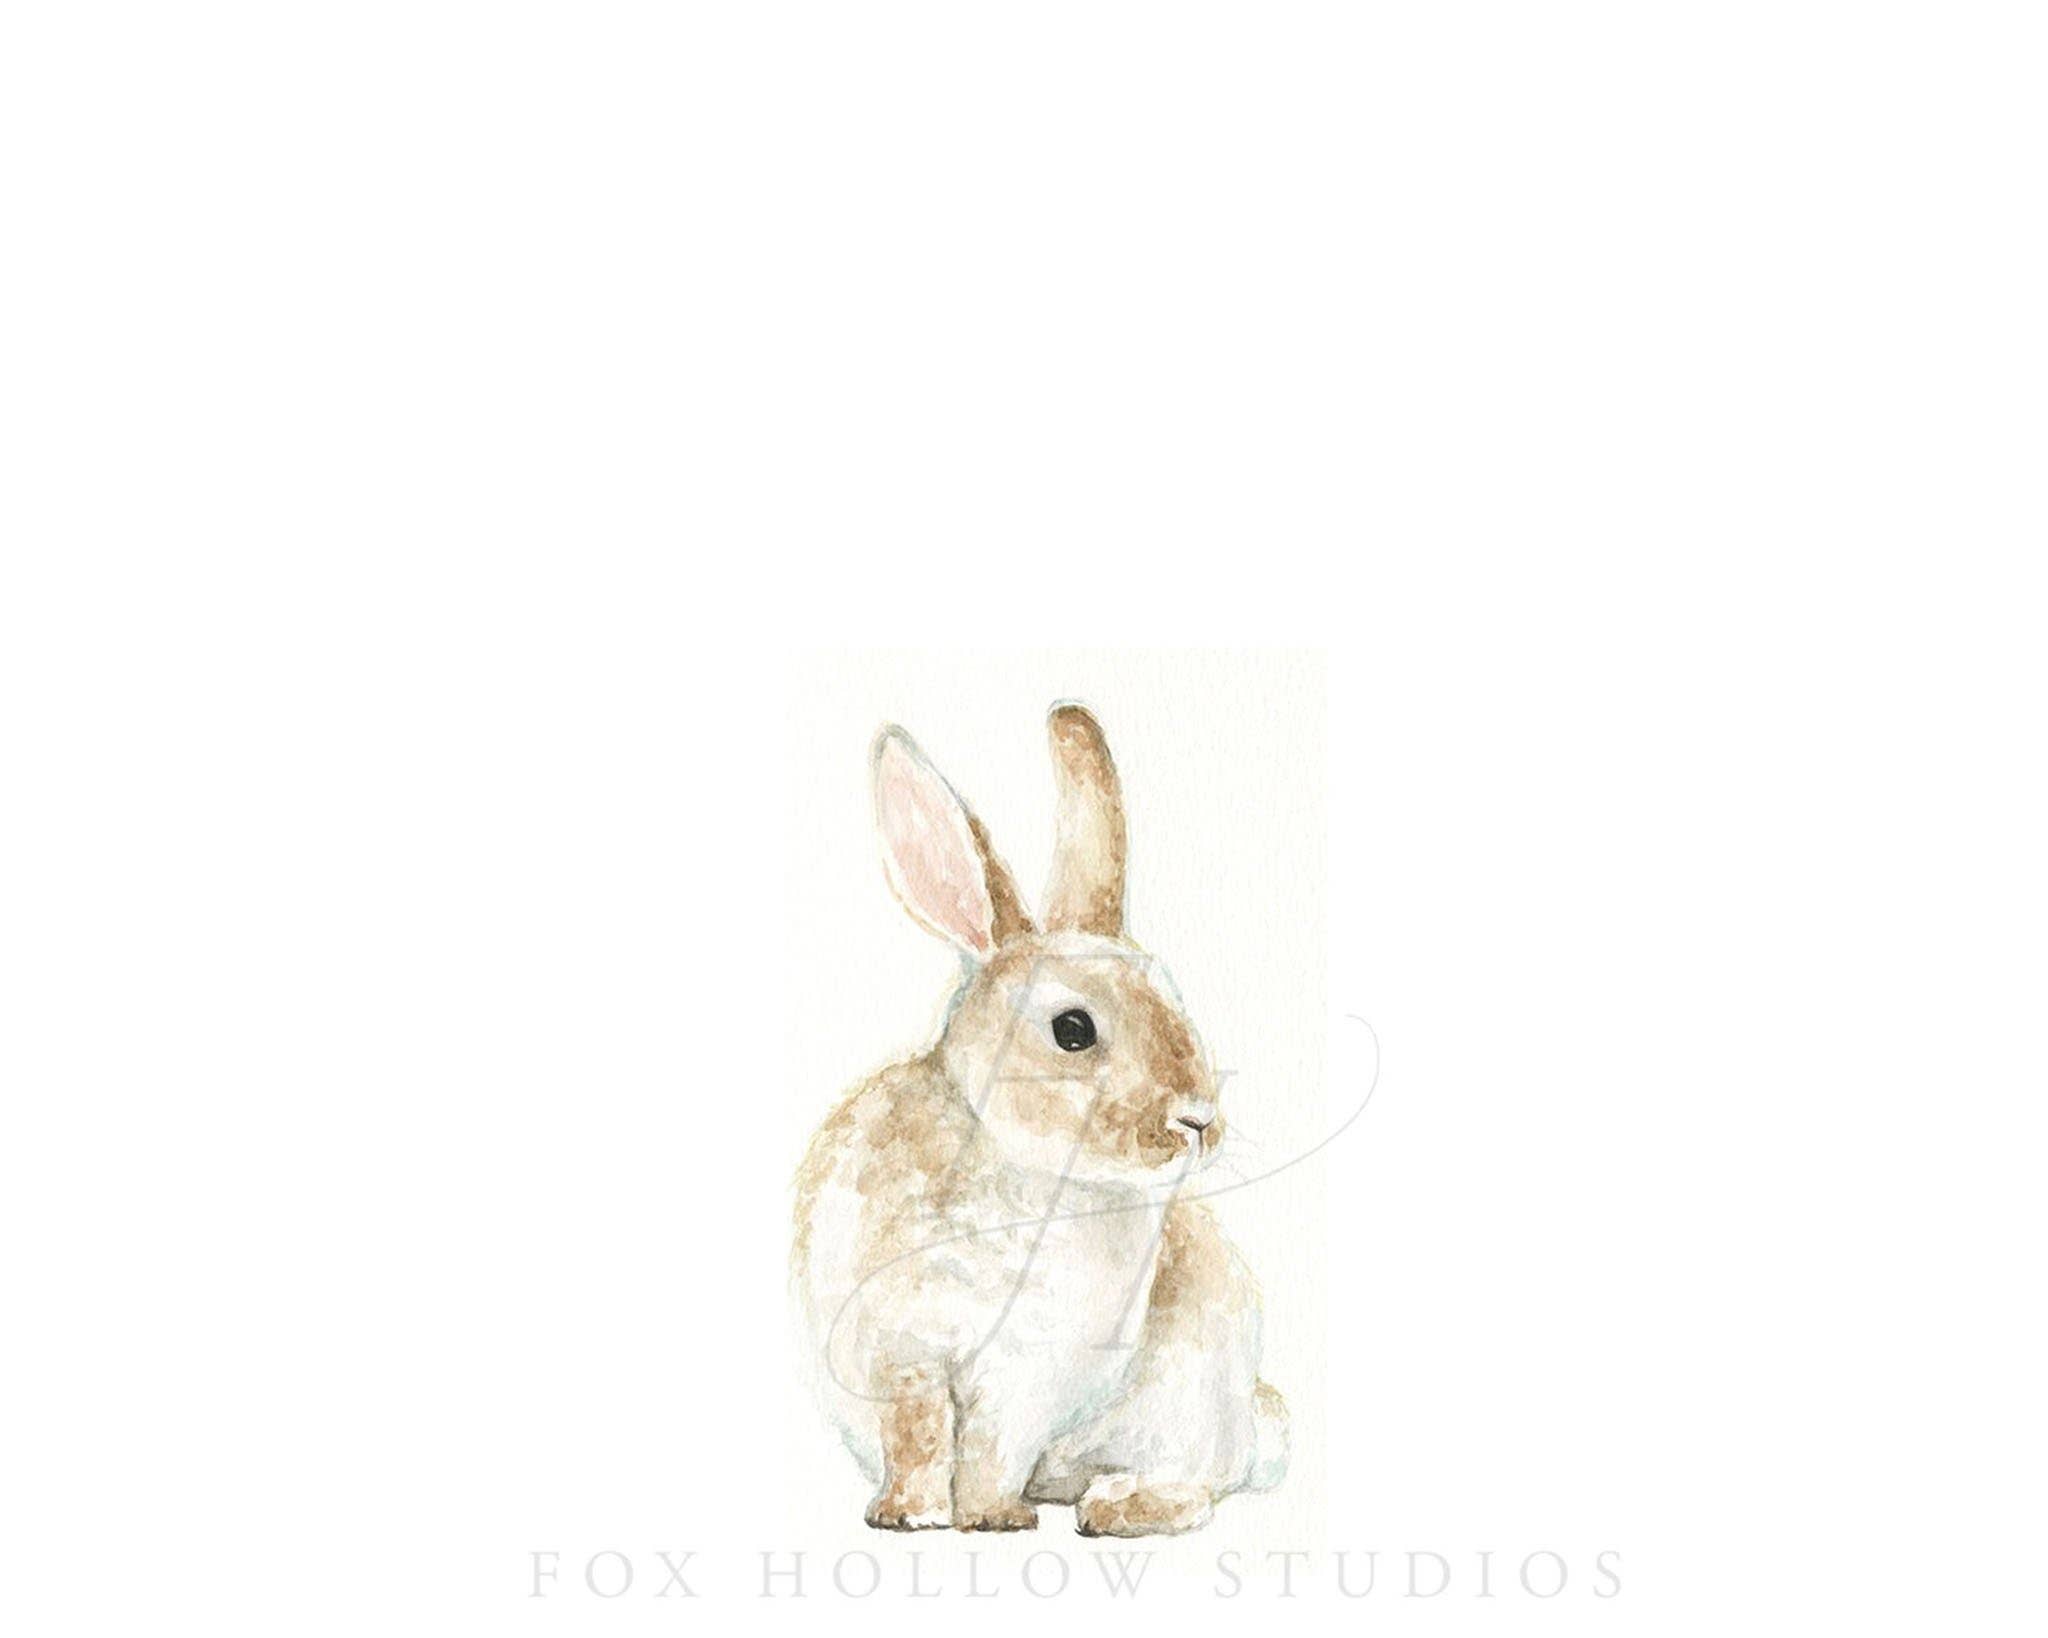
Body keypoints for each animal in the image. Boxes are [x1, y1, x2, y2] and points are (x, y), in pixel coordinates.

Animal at [791, 702, 1287, 1535]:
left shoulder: (1028, 1378)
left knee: (1202, 1480)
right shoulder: (899, 1349)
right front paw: (908, 1514)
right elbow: (917, 1432)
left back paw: (1120, 1505)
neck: (1014, 1165)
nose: (1198, 1121)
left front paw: (990, 1517)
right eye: (1073, 1030)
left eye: (1174, 997)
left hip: (1196, 1402)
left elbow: (992, 1449)